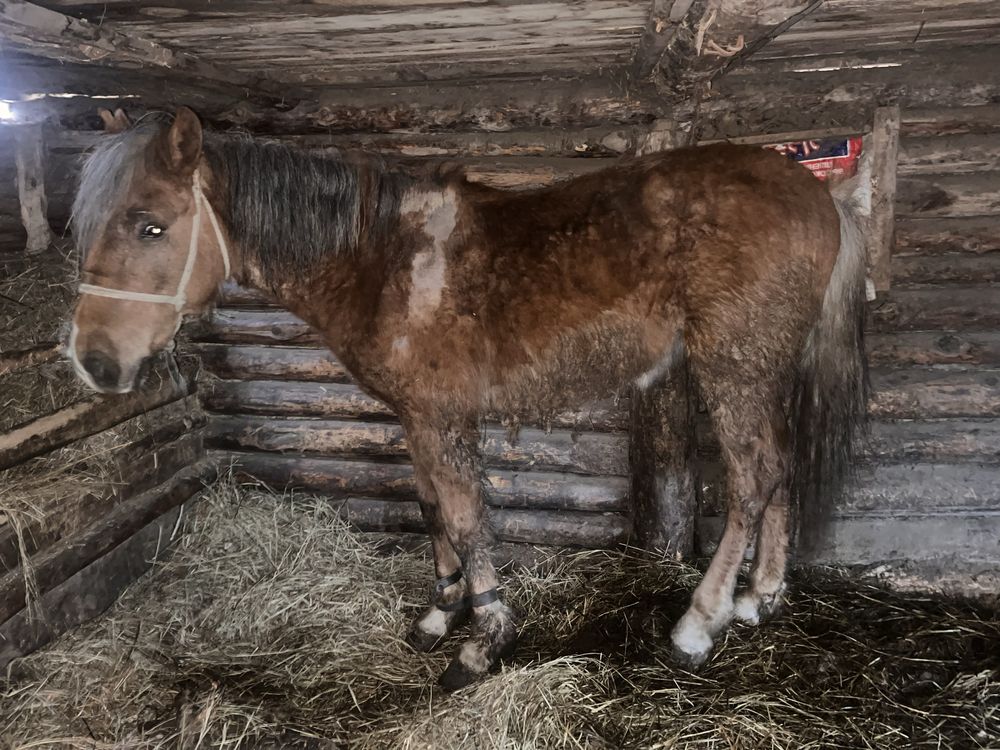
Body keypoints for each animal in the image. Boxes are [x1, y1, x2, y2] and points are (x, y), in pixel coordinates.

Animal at [68, 107, 868, 692]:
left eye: (150, 225)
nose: (94, 362)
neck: (380, 260)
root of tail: (819, 193)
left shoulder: (439, 415)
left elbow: (463, 515)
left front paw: (484, 640)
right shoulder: (415, 417)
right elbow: (431, 508)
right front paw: (439, 613)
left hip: (732, 368)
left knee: (751, 479)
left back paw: (699, 624)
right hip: (764, 369)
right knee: (780, 467)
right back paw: (760, 597)